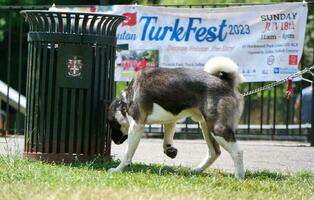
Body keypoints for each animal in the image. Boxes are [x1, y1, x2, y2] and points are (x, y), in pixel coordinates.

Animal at [108, 56, 245, 178]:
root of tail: (226, 82)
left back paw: (239, 177)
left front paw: (118, 169)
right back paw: (197, 170)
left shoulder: (136, 126)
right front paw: (170, 150)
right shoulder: (170, 121)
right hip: (206, 126)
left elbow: (127, 155)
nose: (113, 141)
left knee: (237, 152)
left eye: (111, 124)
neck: (126, 99)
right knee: (214, 152)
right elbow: (166, 141)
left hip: (217, 128)